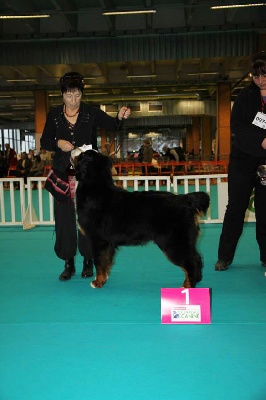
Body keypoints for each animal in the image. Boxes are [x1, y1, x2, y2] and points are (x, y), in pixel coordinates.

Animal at [75, 149, 210, 288]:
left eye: (82, 155)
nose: (76, 152)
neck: (95, 188)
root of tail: (185, 200)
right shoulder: (107, 243)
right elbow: (105, 262)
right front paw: (103, 279)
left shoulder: (99, 240)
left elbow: (99, 262)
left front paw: (98, 282)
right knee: (197, 258)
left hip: (173, 242)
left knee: (190, 262)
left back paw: (187, 286)